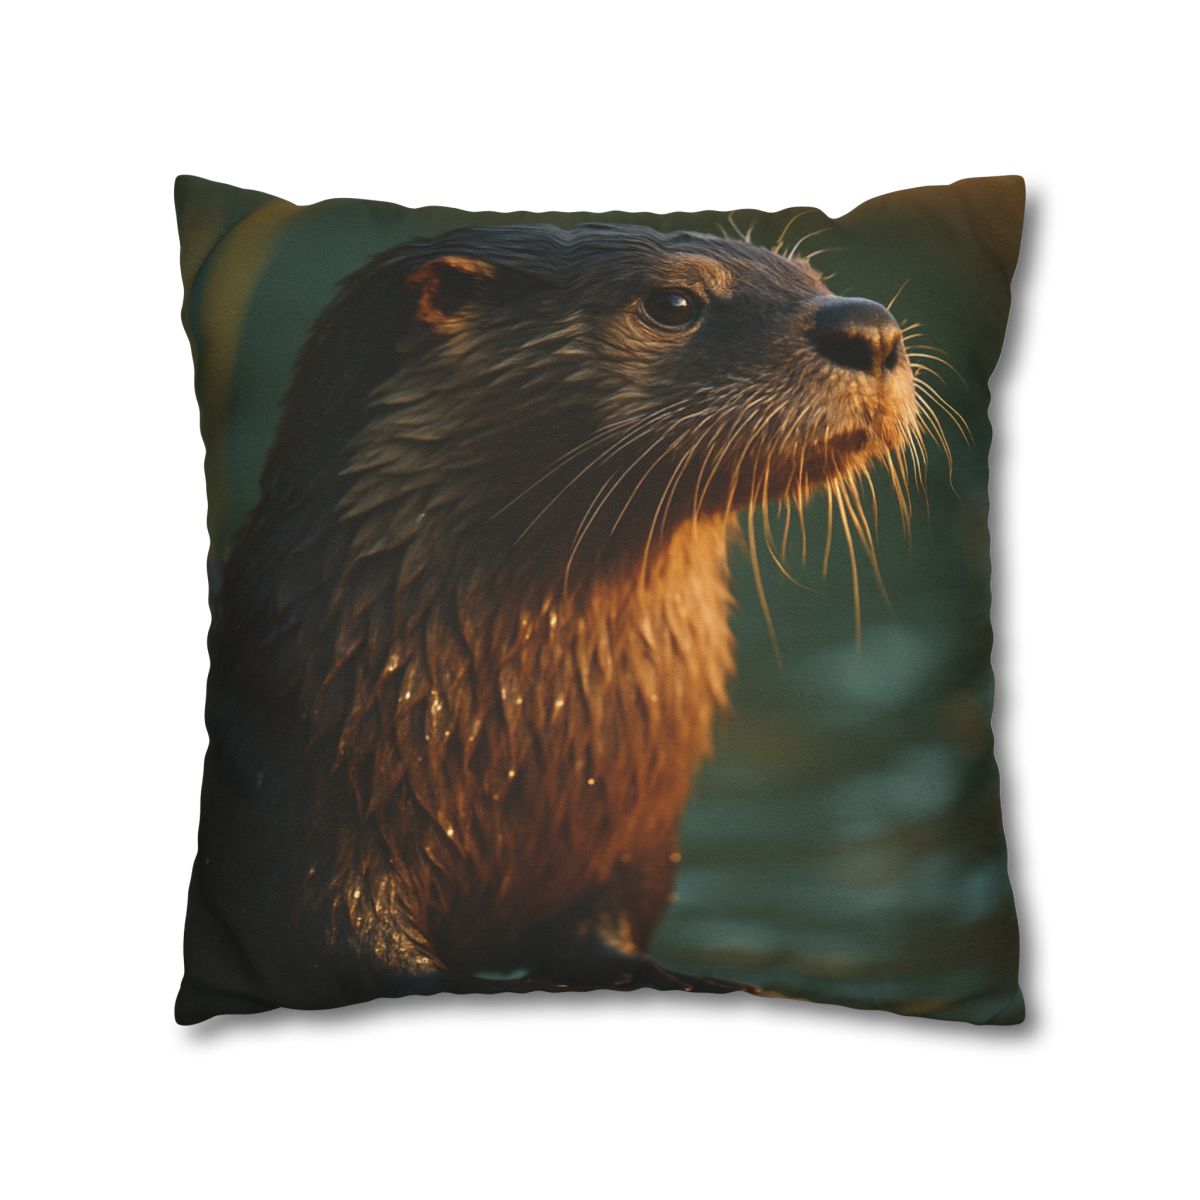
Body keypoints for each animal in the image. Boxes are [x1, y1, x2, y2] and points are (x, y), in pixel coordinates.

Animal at [177, 223, 920, 1022]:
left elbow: (604, 939)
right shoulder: (309, 815)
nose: (870, 328)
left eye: (814, 277)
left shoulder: (625, 843)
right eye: (675, 302)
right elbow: (345, 943)